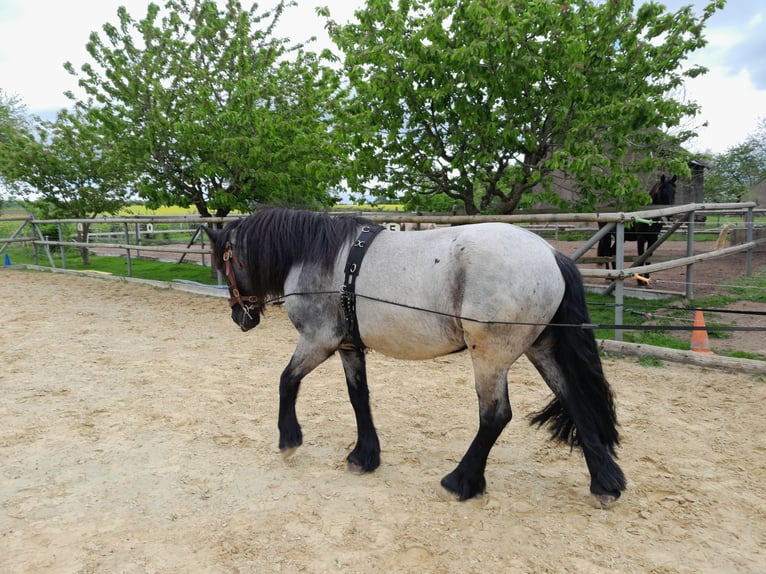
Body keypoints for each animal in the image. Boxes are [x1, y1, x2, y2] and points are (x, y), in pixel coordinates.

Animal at [203, 207, 626, 506]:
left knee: (495, 416)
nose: (240, 317)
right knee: (576, 401)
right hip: (541, 348)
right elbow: (359, 398)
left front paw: (289, 439)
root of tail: (551, 254)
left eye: (224, 262)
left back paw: (460, 482)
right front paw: (364, 456)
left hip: (491, 358)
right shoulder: (349, 346)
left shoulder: (318, 341)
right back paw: (605, 483)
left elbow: (286, 381)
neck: (318, 258)